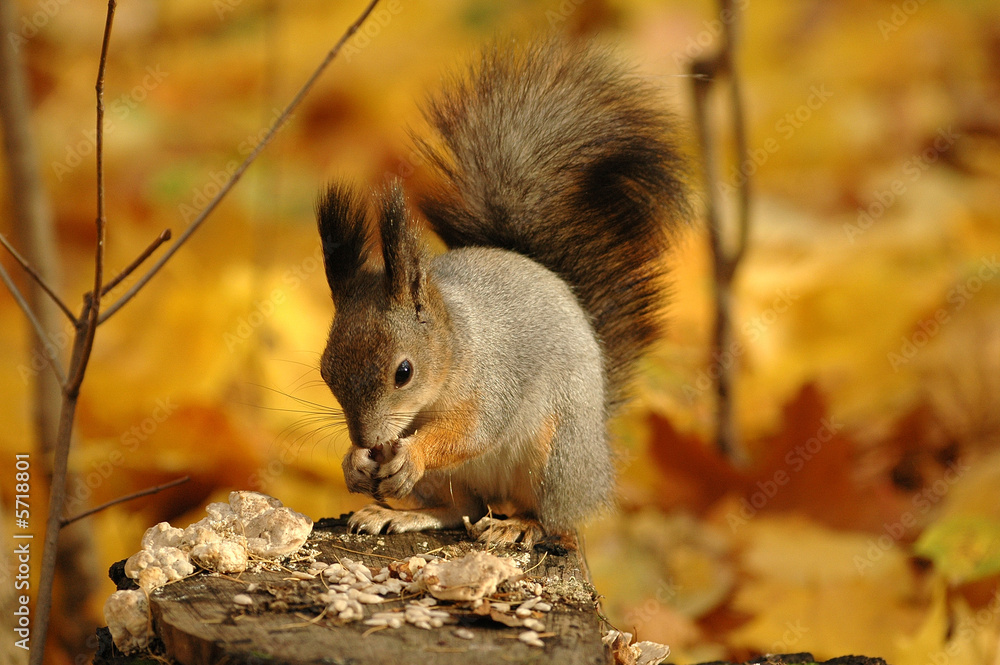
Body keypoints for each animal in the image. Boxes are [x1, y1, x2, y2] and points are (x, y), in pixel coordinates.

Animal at [316, 39, 688, 546]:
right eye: (326, 371)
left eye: (404, 372)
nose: (368, 441)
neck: (456, 347)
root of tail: (598, 460)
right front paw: (352, 463)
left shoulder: (495, 381)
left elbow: (472, 431)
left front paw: (411, 454)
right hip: (455, 481)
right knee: (462, 507)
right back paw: (402, 515)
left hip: (555, 458)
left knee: (552, 518)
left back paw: (518, 526)